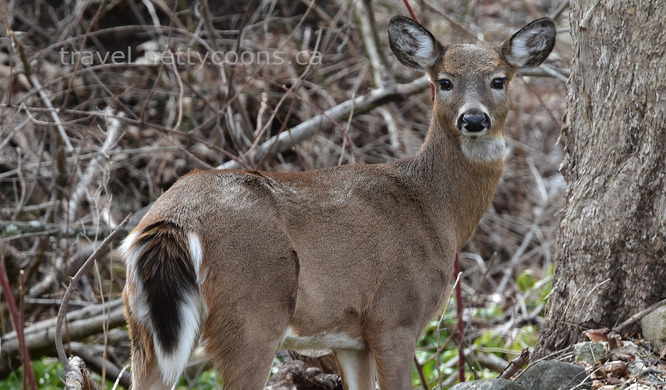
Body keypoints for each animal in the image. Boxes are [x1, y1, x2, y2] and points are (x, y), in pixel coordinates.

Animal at [120, 16, 556, 390]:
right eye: (445, 81)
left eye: (498, 80)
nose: (474, 119)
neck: (435, 209)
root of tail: (173, 221)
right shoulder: (395, 316)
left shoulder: (351, 337)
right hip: (252, 315)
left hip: (143, 327)